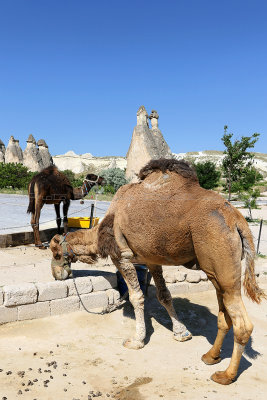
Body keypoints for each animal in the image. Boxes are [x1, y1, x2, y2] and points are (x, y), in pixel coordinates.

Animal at [49, 159, 266, 384]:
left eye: (55, 252)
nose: (57, 274)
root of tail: (238, 221)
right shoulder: (152, 259)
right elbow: (164, 295)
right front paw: (181, 333)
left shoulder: (121, 255)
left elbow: (136, 296)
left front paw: (136, 340)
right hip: (217, 272)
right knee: (224, 316)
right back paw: (210, 356)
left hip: (222, 260)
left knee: (242, 324)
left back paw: (226, 375)